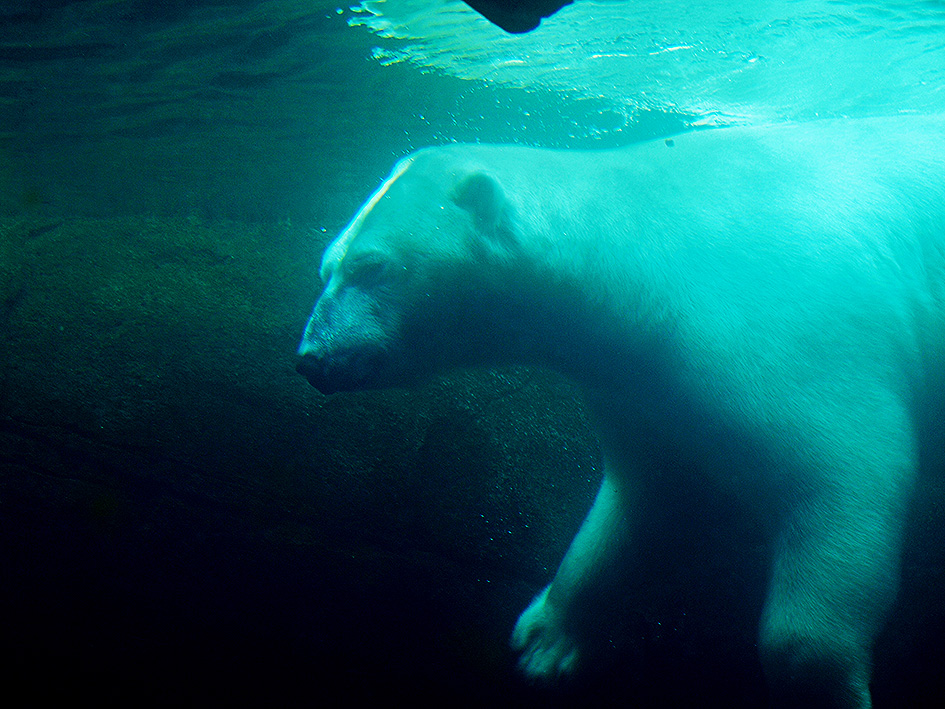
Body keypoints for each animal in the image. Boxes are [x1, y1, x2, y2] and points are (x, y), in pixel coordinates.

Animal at [298, 119, 944, 704]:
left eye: (372, 266)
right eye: (326, 264)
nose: (312, 358)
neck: (645, 248)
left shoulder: (792, 332)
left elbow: (842, 478)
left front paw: (823, 679)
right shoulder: (642, 386)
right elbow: (649, 498)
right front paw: (545, 642)